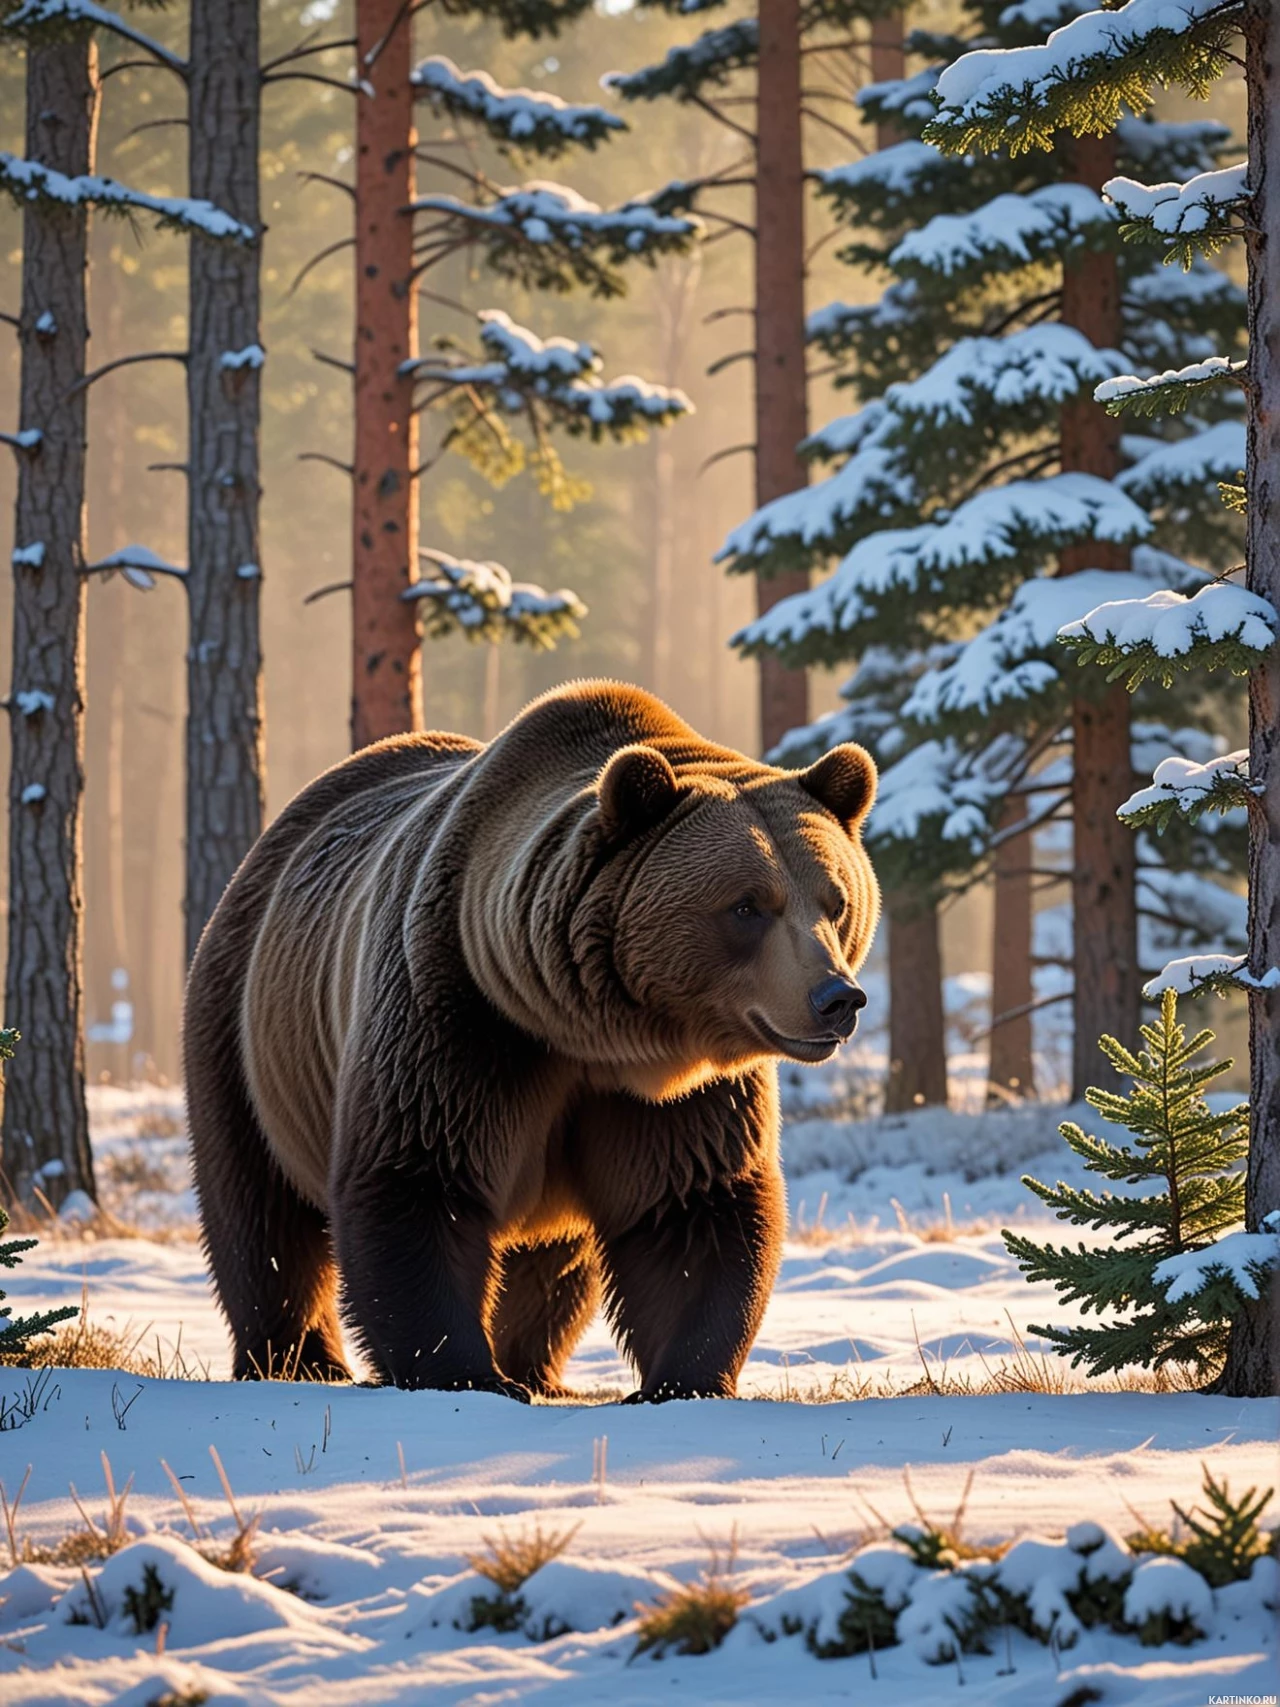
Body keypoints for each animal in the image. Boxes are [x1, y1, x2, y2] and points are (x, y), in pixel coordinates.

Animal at [182, 679, 880, 1399]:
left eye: (835, 902)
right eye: (747, 905)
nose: (836, 998)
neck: (588, 1031)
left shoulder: (677, 1093)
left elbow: (691, 1208)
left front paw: (680, 1380)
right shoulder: (457, 1018)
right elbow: (419, 1176)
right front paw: (461, 1372)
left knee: (554, 1258)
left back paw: (538, 1370)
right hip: (246, 1030)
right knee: (260, 1213)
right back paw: (298, 1360)